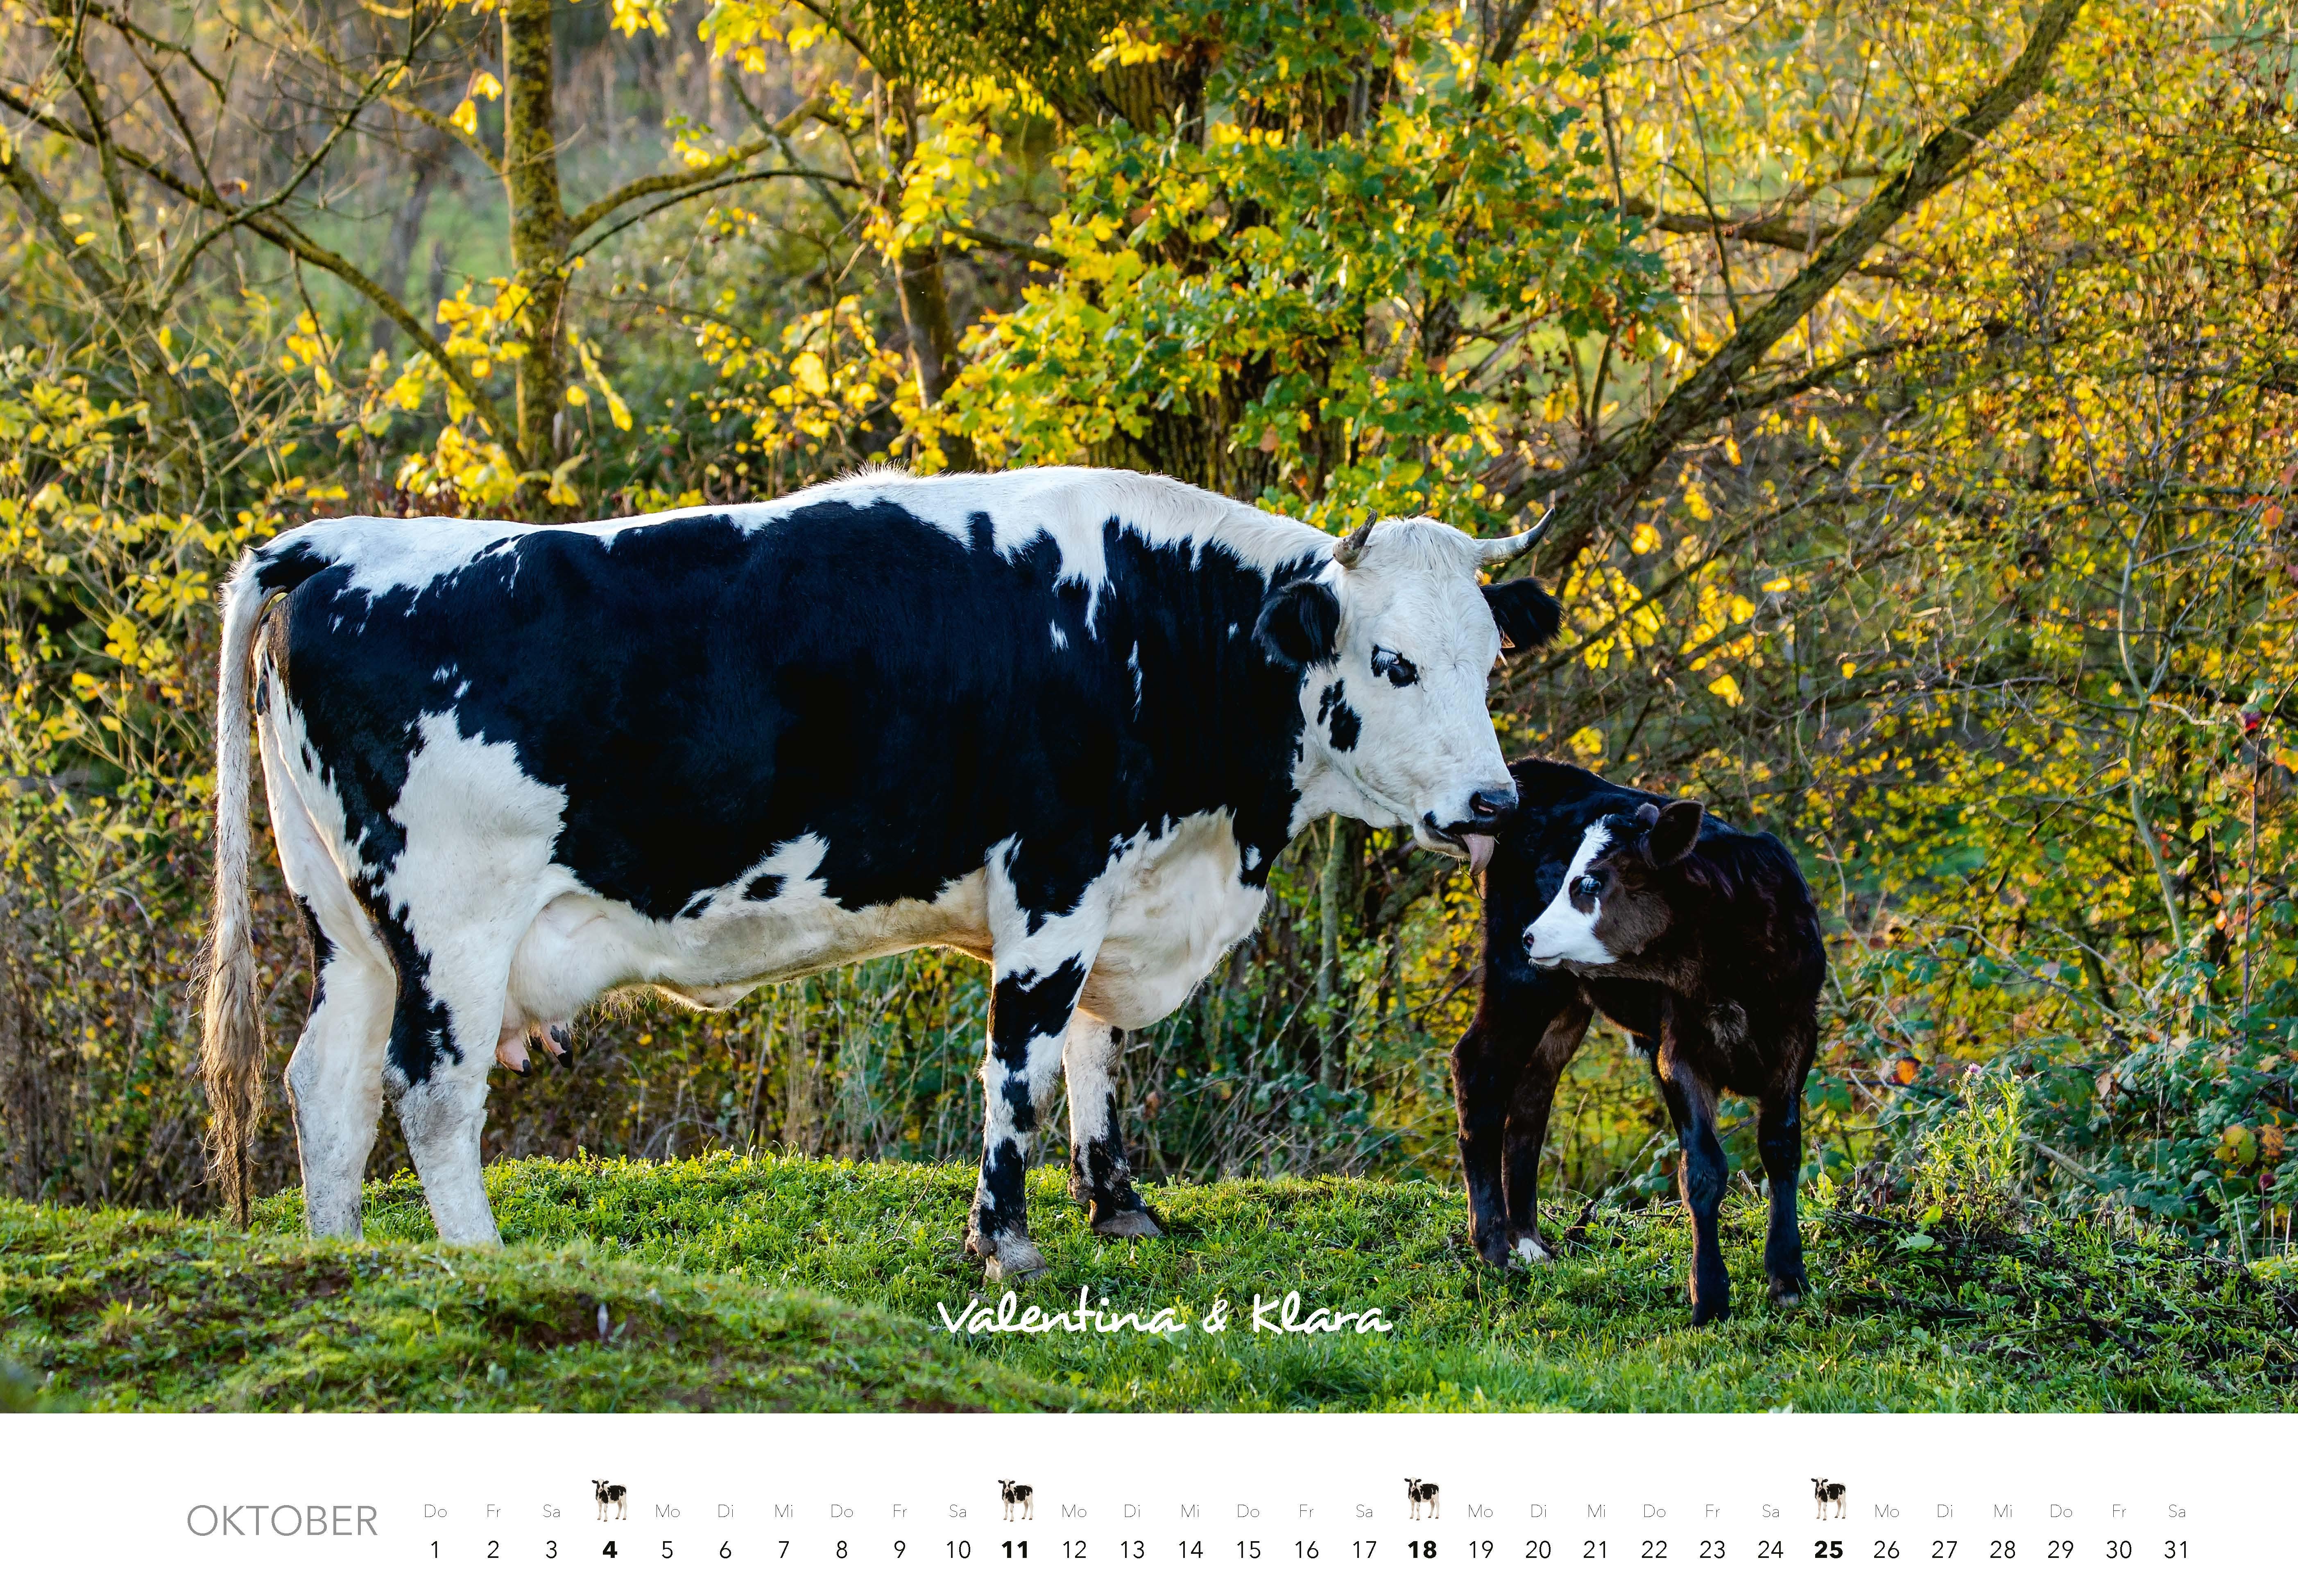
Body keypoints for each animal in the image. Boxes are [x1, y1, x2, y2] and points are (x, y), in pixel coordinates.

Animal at [200, 466, 1561, 1281]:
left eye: (1491, 655)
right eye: (1390, 662)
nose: (1492, 806)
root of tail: (337, 543)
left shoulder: (1115, 886)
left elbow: (1094, 1050)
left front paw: (1117, 1205)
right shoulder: (1053, 876)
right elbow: (1019, 1060)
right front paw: (1004, 1240)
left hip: (347, 926)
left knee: (326, 1086)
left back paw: (343, 1262)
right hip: (451, 925)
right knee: (429, 1092)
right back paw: (480, 1257)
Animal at [1449, 759, 1825, 1324]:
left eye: (1589, 881)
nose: (1531, 935)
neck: (1734, 967)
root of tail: (1535, 771)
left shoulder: (1796, 1039)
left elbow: (1781, 1150)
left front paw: (1787, 1278)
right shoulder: (1679, 1048)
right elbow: (1703, 1169)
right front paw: (1708, 1295)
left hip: (1565, 998)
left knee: (1533, 1096)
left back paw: (1528, 1241)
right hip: (1520, 978)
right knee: (1479, 1067)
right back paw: (1493, 1246)